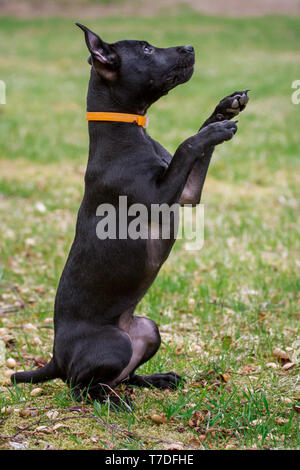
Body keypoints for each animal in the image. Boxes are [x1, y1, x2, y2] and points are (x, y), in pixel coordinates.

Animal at [11, 23, 250, 402]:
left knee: (123, 375)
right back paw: (112, 402)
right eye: (147, 50)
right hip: (114, 345)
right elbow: (188, 144)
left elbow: (195, 144)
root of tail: (55, 358)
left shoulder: (187, 194)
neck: (128, 132)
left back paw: (155, 380)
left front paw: (225, 109)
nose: (190, 47)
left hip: (148, 330)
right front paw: (216, 129)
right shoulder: (159, 197)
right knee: (81, 386)